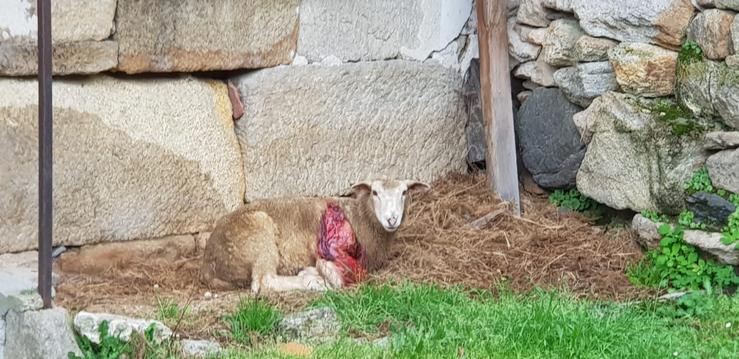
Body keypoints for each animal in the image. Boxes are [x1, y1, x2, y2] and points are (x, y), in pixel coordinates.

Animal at [199, 179, 430, 294]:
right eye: (375, 192)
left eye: (404, 192)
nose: (392, 219)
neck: (361, 217)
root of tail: (208, 262)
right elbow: (336, 276)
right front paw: (315, 275)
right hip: (258, 236)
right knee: (264, 281)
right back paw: (312, 282)